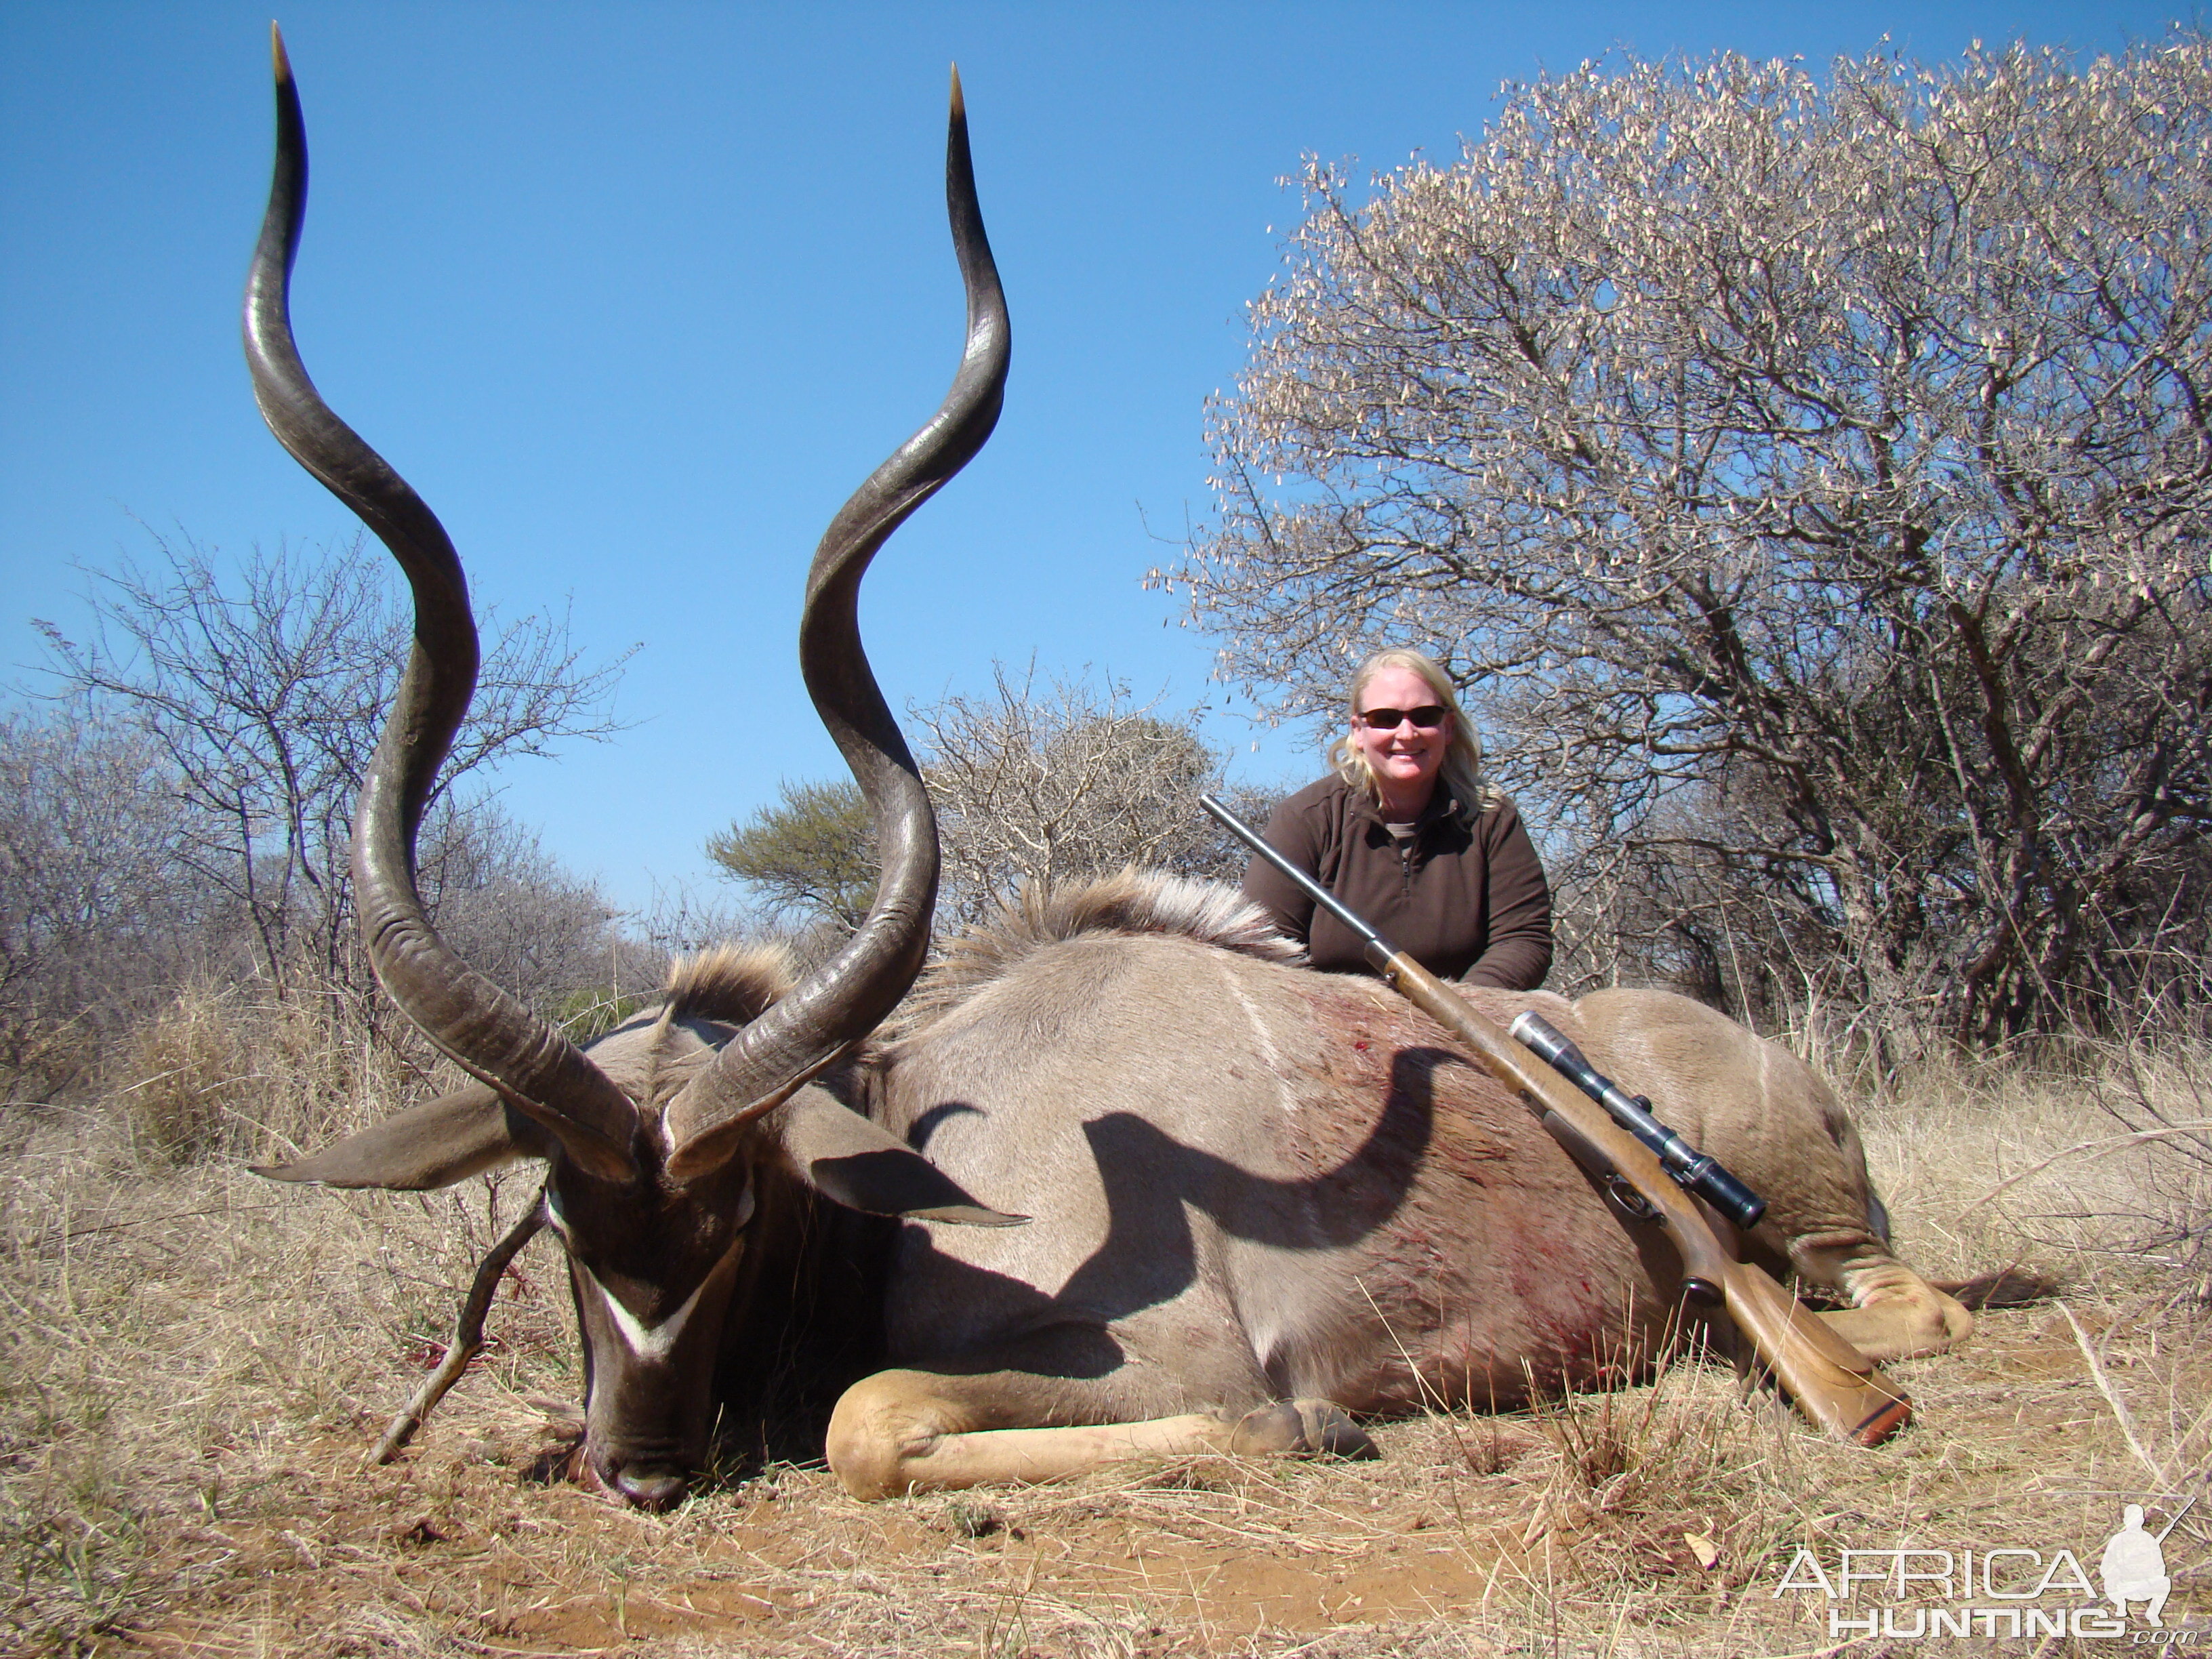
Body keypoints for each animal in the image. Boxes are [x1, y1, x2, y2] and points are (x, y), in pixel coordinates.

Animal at [246, 35, 1990, 1521]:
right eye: (554, 1215)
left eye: (738, 1210)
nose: (647, 1468)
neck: (924, 1138)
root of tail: (1779, 1064)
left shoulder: (1165, 1360)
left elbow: (876, 1419)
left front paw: (1325, 1425)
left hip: (1829, 1243)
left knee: (1913, 1310)